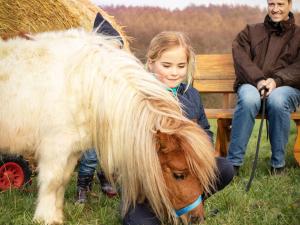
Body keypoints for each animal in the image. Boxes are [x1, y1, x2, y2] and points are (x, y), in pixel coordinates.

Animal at [0, 29, 217, 224]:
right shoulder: (55, 149)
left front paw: (56, 216)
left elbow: (61, 182)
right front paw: (45, 218)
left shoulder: (71, 150)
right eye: (179, 175)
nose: (197, 218)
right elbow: (52, 183)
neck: (85, 86)